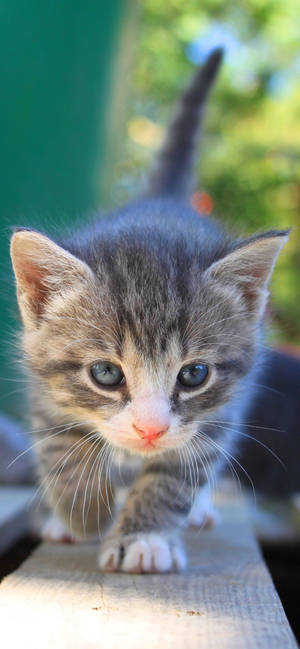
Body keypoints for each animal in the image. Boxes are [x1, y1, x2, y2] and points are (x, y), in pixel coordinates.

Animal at [9, 50, 288, 576]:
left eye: (194, 374)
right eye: (105, 373)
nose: (151, 429)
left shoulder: (223, 407)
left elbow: (177, 474)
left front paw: (144, 537)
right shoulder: (39, 385)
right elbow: (59, 447)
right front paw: (82, 512)